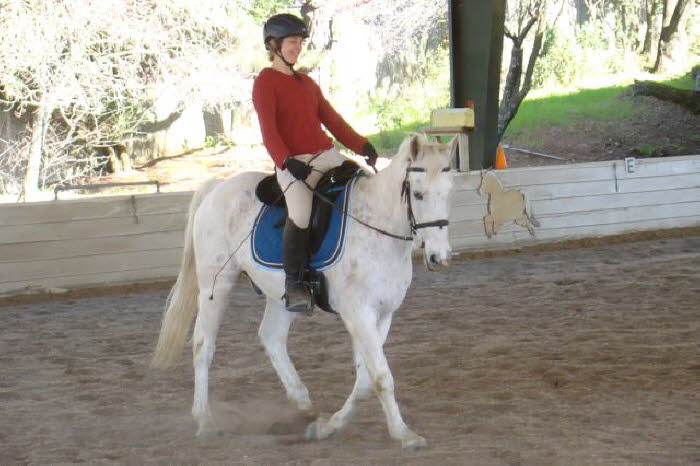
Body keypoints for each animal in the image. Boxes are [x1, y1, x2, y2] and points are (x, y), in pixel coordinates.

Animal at [152, 134, 454, 452]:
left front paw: (328, 426)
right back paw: (205, 420)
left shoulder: (383, 314)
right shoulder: (359, 314)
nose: (439, 257)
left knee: (271, 336)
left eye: (449, 192)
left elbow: (364, 379)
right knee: (203, 346)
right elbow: (381, 376)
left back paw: (304, 406)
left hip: (281, 295)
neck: (379, 228)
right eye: (418, 194)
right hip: (216, 285)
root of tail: (217, 187)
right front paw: (404, 434)